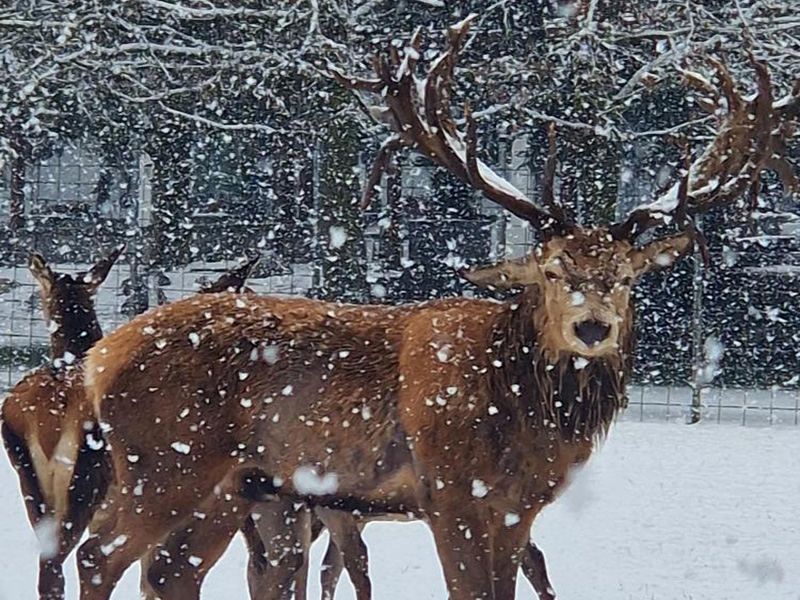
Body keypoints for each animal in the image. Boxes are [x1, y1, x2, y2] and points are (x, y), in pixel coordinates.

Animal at [74, 15, 797, 600]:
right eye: (552, 269)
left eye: (623, 277)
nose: (594, 326)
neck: (520, 412)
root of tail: (98, 358)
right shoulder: (451, 492)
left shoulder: (516, 511)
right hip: (163, 462)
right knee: (96, 556)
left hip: (236, 490)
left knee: (170, 572)